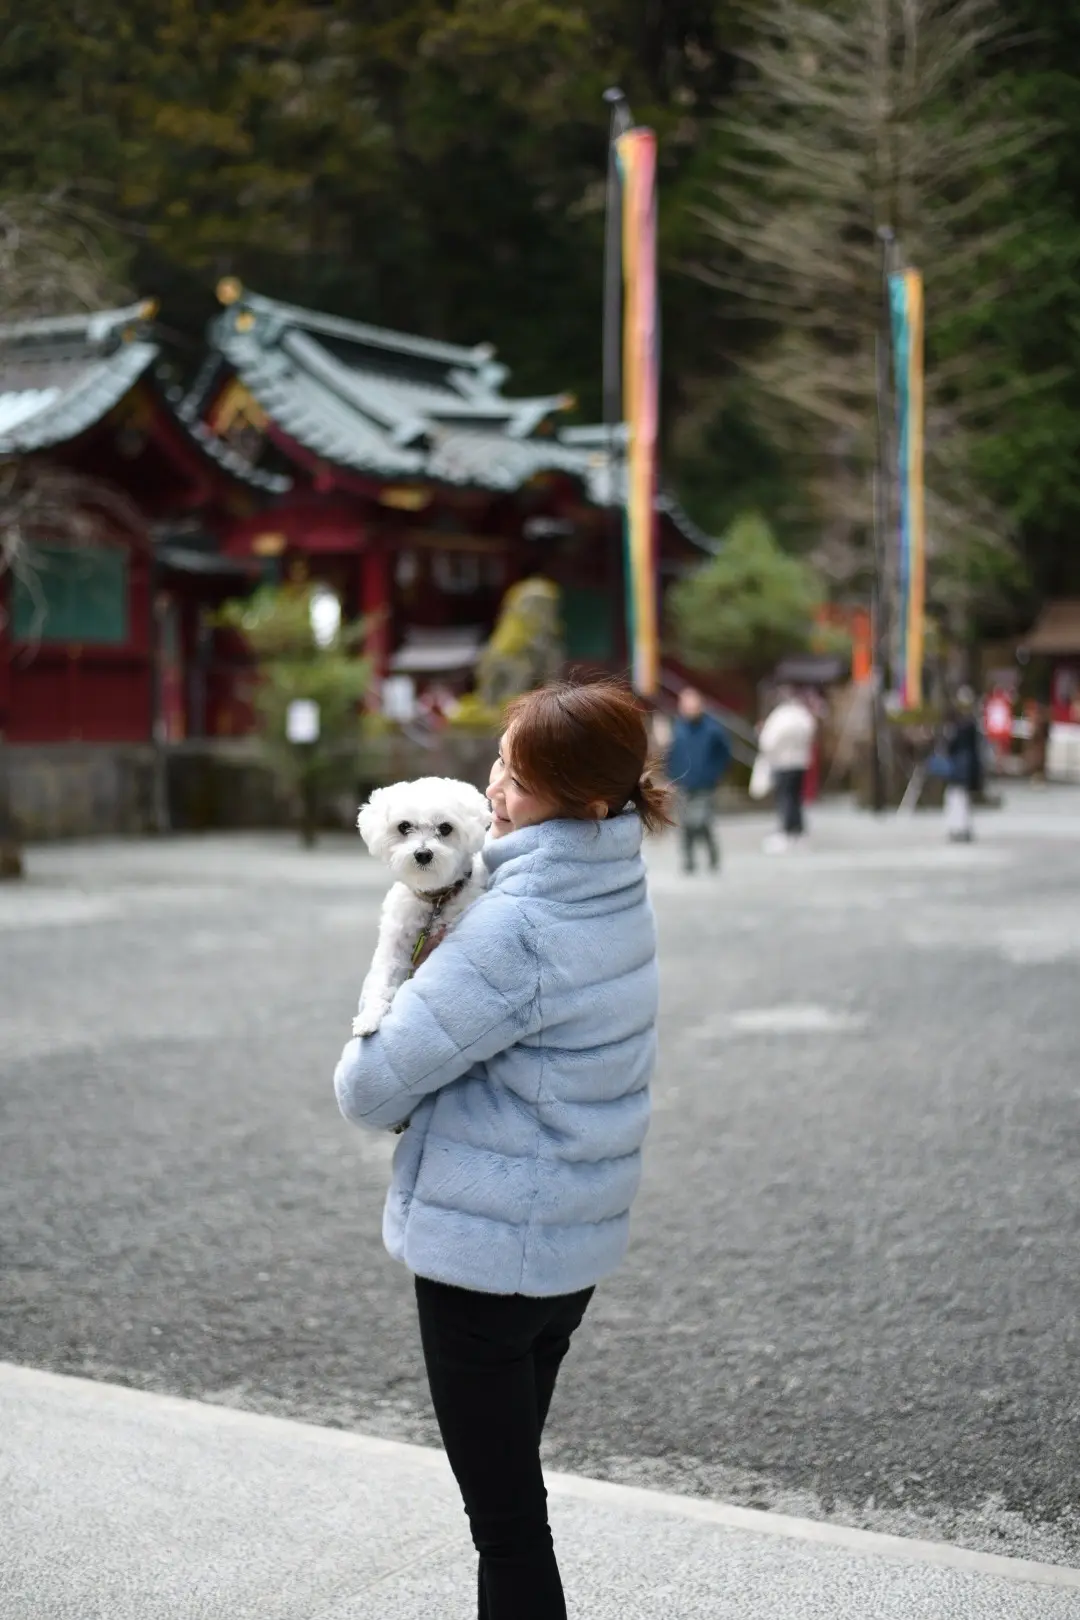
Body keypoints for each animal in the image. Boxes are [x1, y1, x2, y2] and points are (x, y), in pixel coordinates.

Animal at [352, 774, 492, 1036]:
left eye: (445, 828)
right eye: (404, 826)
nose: (423, 854)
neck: (435, 900)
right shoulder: (394, 945)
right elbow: (382, 979)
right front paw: (369, 1017)